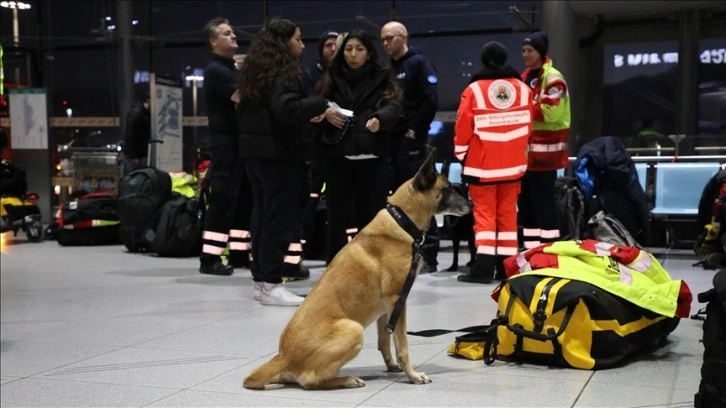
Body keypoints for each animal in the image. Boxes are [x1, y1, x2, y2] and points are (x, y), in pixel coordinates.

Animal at [245, 148, 472, 390]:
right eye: (448, 189)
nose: (472, 206)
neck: (403, 222)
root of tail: (284, 356)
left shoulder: (388, 309)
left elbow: (385, 340)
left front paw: (392, 366)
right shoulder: (397, 300)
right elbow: (402, 346)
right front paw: (412, 375)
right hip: (353, 329)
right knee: (309, 381)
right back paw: (346, 379)